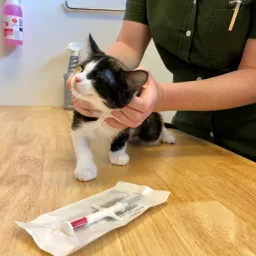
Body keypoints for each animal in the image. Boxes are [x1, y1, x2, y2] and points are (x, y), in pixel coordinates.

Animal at [68, 34, 176, 182]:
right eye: (81, 68)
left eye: (99, 79)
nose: (77, 78)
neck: (105, 111)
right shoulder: (80, 118)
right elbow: (81, 144)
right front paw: (86, 169)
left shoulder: (130, 118)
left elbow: (122, 136)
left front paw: (117, 155)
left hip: (149, 128)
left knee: (157, 127)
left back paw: (167, 136)